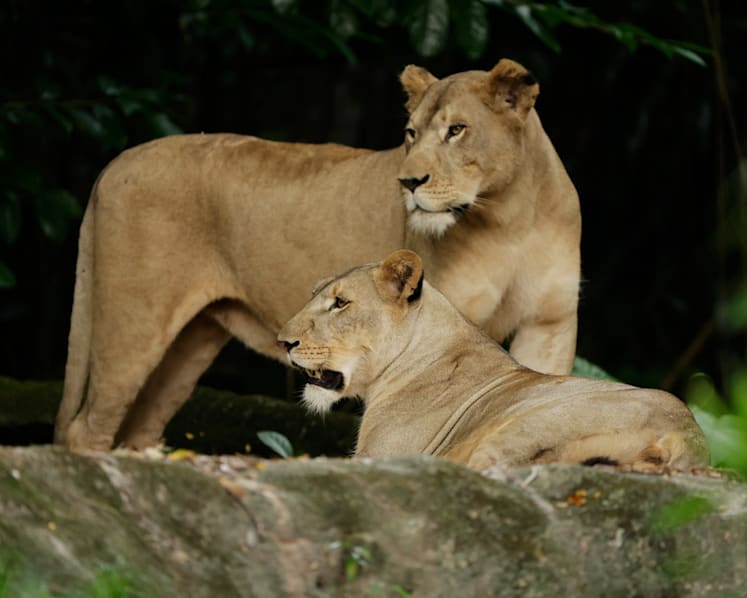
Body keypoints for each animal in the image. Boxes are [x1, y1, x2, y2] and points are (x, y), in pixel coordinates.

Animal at [56, 58, 580, 451]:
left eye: (457, 130)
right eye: (410, 133)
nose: (408, 182)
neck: (508, 217)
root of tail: (115, 161)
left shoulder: (548, 324)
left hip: (191, 341)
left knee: (138, 430)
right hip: (133, 325)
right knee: (89, 429)